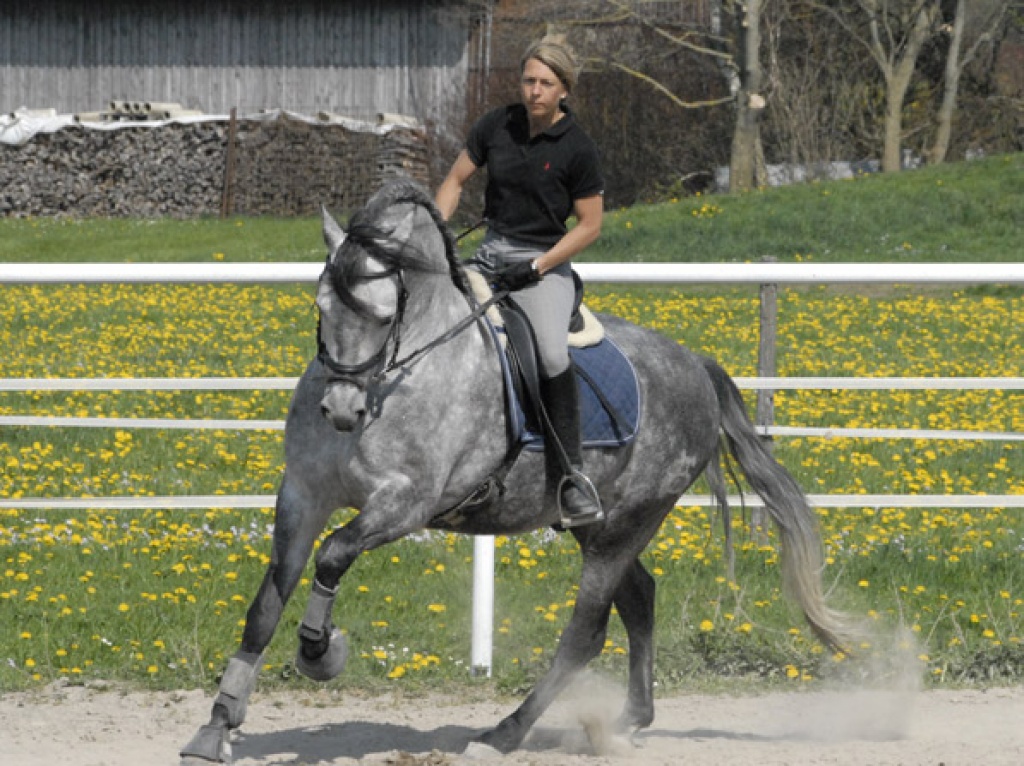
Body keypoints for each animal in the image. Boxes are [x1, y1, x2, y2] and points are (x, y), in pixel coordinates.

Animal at [180, 179, 851, 764]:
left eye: (385, 312)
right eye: (321, 305)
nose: (343, 411)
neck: (398, 374)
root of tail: (697, 366)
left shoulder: (406, 504)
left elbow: (333, 555)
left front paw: (320, 652)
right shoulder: (302, 494)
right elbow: (266, 604)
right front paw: (217, 725)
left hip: (627, 523)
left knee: (586, 632)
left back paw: (503, 734)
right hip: (597, 522)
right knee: (639, 598)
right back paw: (628, 721)